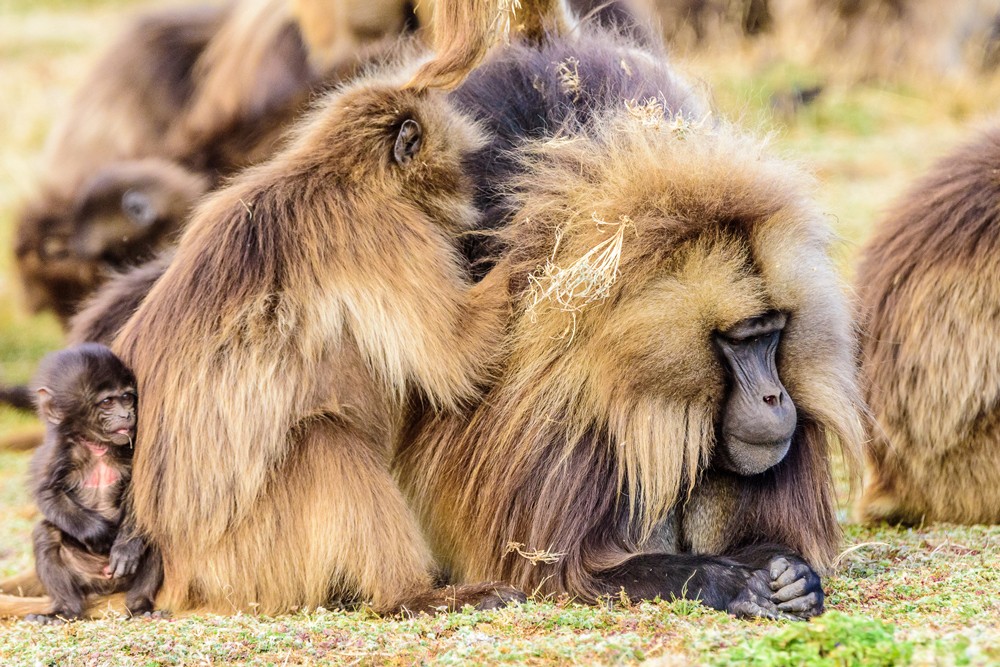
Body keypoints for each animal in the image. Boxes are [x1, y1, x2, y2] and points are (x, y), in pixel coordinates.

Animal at [29, 348, 161, 624]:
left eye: (126, 397)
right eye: (107, 402)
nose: (127, 414)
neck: (98, 446)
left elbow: (141, 493)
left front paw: (126, 547)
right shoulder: (59, 449)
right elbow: (48, 493)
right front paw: (98, 533)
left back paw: (141, 607)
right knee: (47, 533)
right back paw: (63, 610)